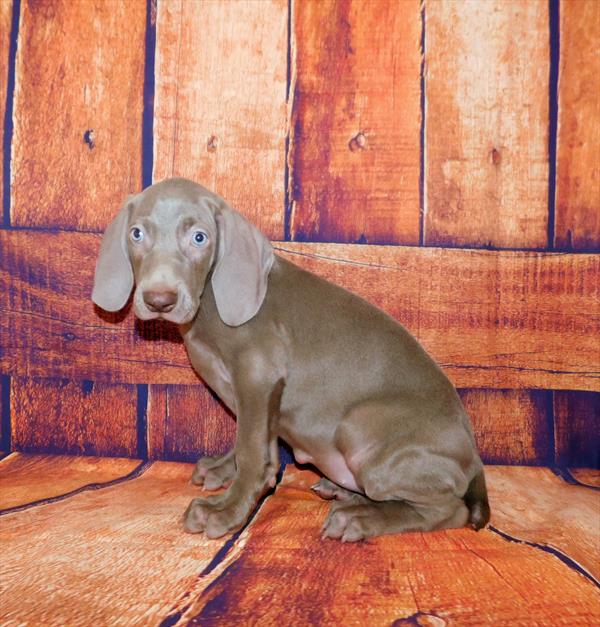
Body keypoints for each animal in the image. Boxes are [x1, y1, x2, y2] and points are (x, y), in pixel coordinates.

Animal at [91, 179, 490, 544]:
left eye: (200, 238)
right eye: (137, 233)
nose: (160, 300)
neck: (211, 306)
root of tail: (475, 461)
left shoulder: (258, 375)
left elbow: (253, 452)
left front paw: (226, 511)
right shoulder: (259, 397)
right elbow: (251, 442)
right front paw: (222, 470)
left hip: (359, 428)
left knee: (451, 509)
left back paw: (360, 517)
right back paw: (344, 492)